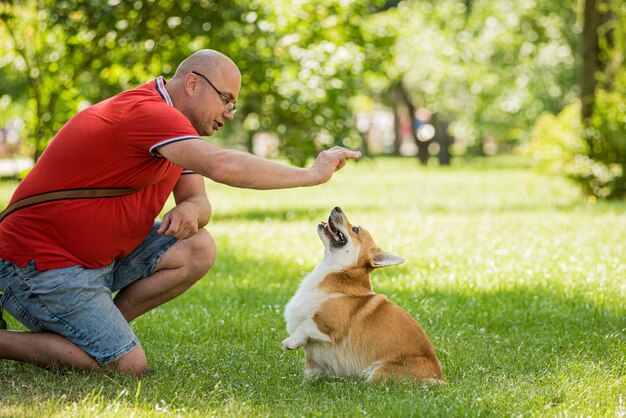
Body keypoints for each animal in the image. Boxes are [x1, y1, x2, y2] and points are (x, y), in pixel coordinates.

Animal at [280, 207, 442, 386]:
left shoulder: (330, 325)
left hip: (378, 372)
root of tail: (439, 378)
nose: (337, 207)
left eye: (356, 229)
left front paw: (290, 342)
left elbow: (305, 325)